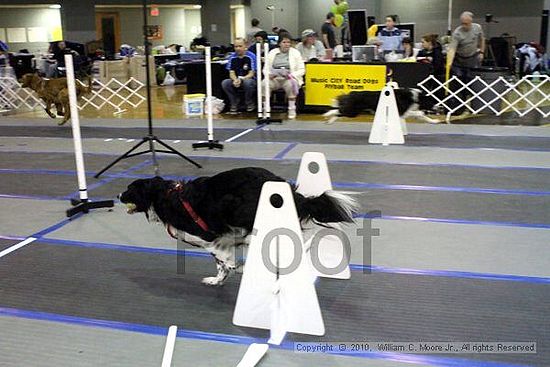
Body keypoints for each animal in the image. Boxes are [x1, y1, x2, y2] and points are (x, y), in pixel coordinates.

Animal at [119, 167, 360, 288]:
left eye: (129, 189)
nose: (119, 195)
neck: (164, 197)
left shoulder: (208, 236)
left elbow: (225, 260)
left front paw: (237, 267)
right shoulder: (223, 239)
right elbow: (221, 264)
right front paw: (217, 280)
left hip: (234, 206)